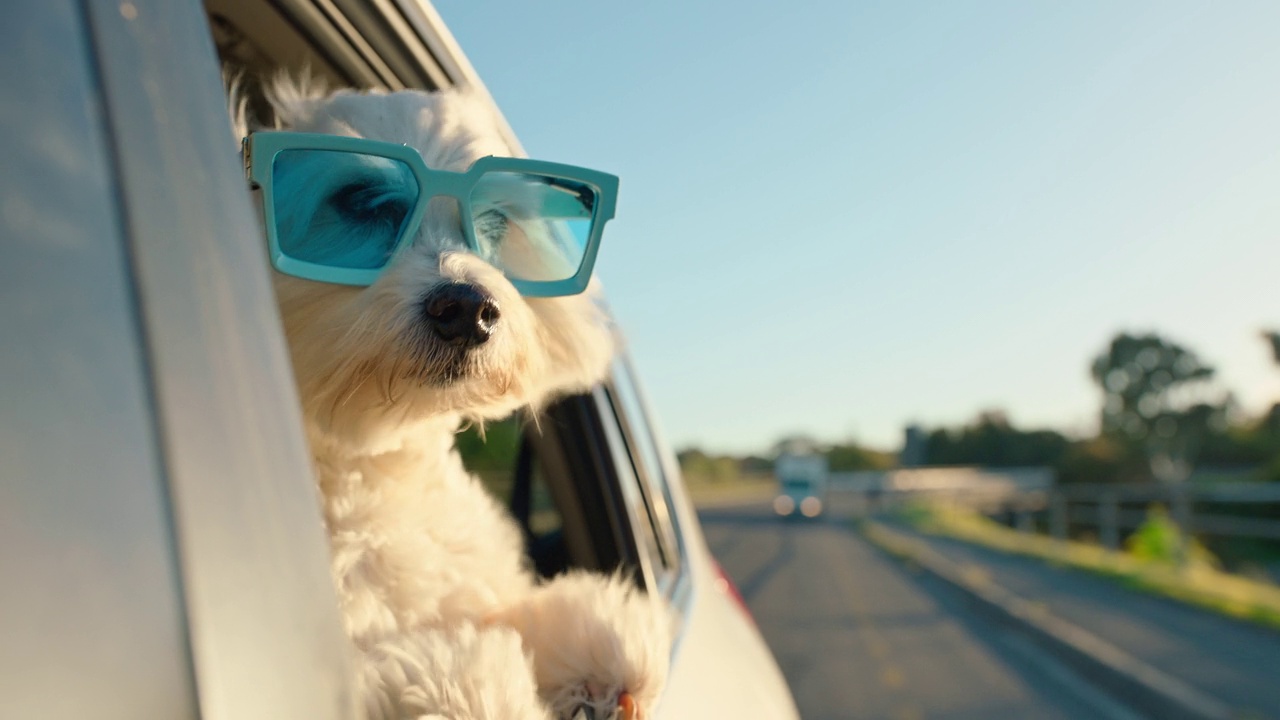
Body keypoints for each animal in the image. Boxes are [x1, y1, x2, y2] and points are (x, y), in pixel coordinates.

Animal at [241, 78, 680, 717]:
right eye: (360, 201)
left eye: (493, 220)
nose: (469, 309)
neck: (377, 463)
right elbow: (442, 674)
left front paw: (599, 639)